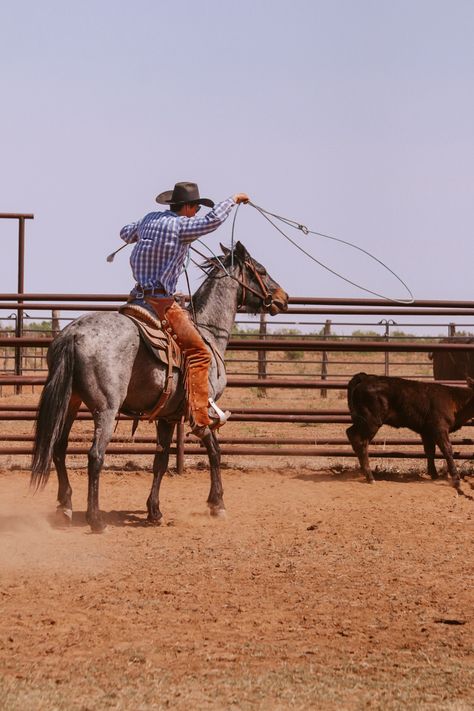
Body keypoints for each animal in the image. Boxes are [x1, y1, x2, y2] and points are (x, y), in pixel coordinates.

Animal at [31, 242, 288, 532]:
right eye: (261, 270)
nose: (283, 297)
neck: (208, 333)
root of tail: (73, 334)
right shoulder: (199, 411)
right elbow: (214, 450)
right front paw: (217, 504)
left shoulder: (167, 416)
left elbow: (161, 461)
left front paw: (154, 511)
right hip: (106, 410)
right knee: (95, 456)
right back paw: (95, 519)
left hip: (71, 402)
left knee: (59, 447)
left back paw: (65, 506)